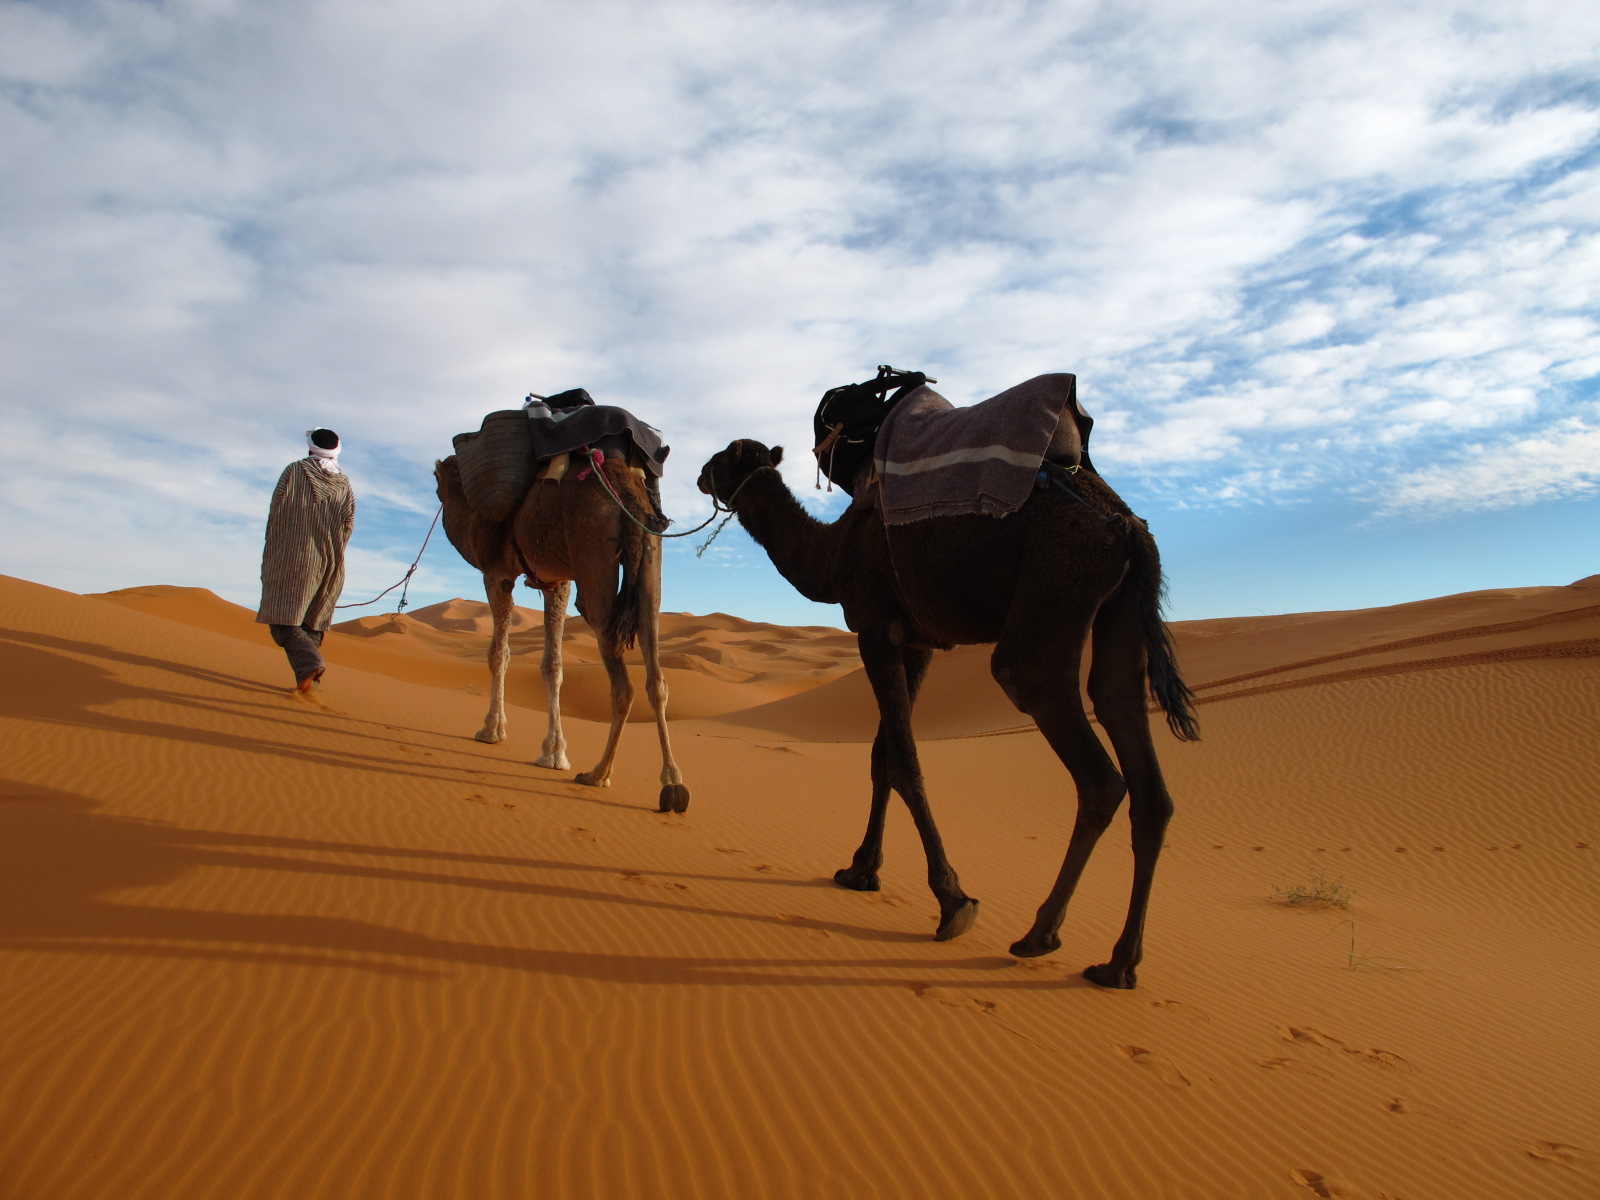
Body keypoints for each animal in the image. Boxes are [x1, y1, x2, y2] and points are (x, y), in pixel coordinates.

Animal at [435, 454, 691, 819]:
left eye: (437, 484)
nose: (437, 496)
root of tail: (626, 491)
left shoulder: (496, 572)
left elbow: (499, 653)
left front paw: (491, 730)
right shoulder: (557, 580)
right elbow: (552, 664)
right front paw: (554, 752)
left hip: (594, 558)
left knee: (622, 683)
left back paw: (599, 774)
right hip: (649, 559)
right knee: (655, 671)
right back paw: (669, 782)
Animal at [694, 441, 1196, 985]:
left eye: (727, 455)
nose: (699, 473)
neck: (834, 551)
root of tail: (1127, 528)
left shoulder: (876, 627)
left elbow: (904, 764)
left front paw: (952, 900)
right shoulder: (916, 642)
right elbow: (882, 758)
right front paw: (861, 870)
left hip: (1057, 586)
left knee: (1082, 753)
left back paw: (1039, 934)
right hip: (1118, 610)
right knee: (1127, 726)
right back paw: (1117, 963)